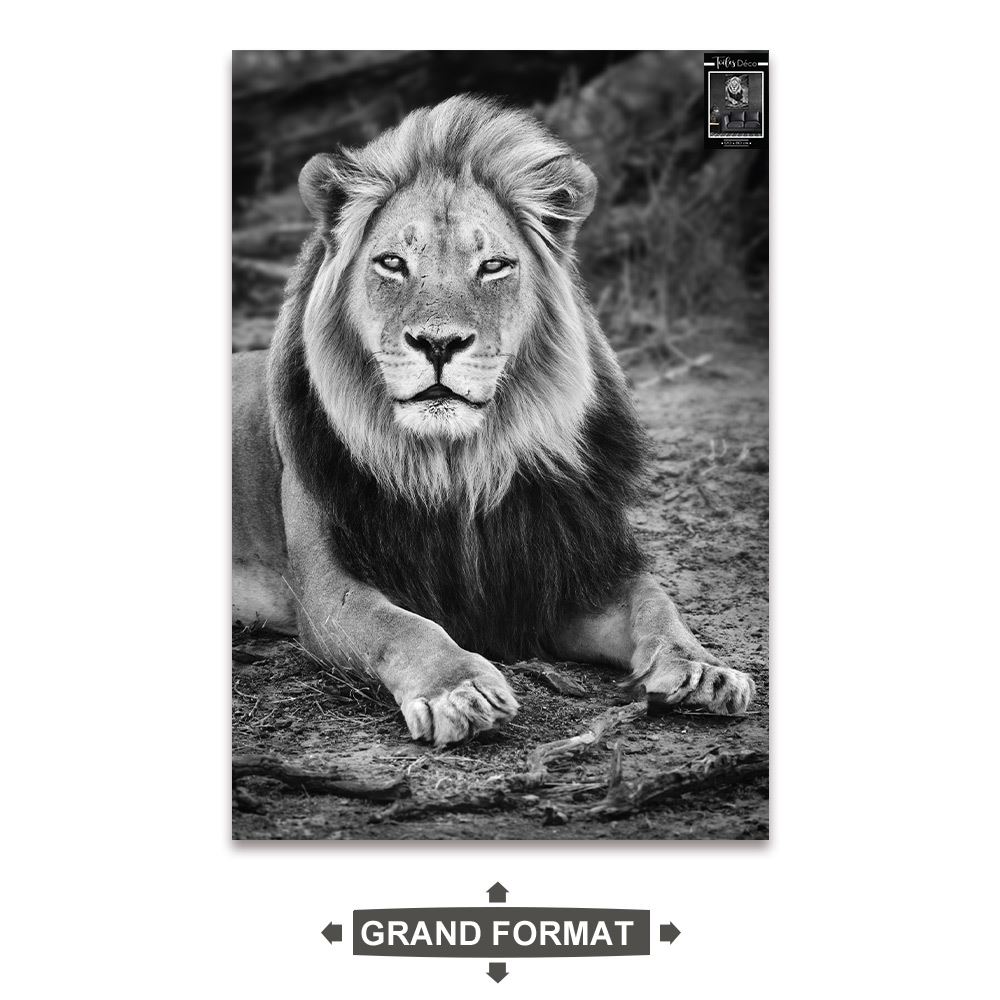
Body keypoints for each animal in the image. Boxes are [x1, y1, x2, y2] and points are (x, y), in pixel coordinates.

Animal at [232, 95, 756, 747]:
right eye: (392, 263)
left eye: (493, 266)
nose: (438, 343)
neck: (462, 464)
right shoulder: (327, 589)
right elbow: (402, 626)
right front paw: (458, 688)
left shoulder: (569, 569)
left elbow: (656, 602)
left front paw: (703, 668)